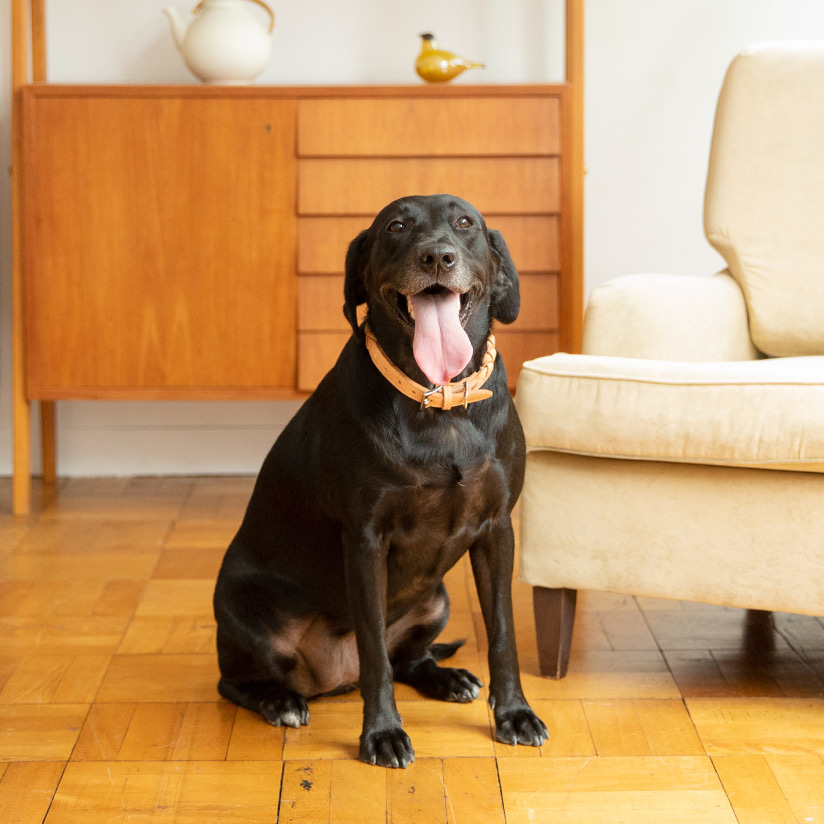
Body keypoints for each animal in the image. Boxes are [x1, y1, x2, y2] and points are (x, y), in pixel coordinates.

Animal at [213, 194, 548, 767]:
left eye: (465, 223)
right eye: (395, 226)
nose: (437, 257)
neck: (438, 401)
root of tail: (333, 679)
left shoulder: (497, 529)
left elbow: (503, 633)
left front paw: (514, 715)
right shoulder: (366, 541)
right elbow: (374, 651)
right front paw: (383, 733)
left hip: (436, 599)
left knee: (412, 657)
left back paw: (447, 678)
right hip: (244, 607)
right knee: (236, 681)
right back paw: (279, 700)